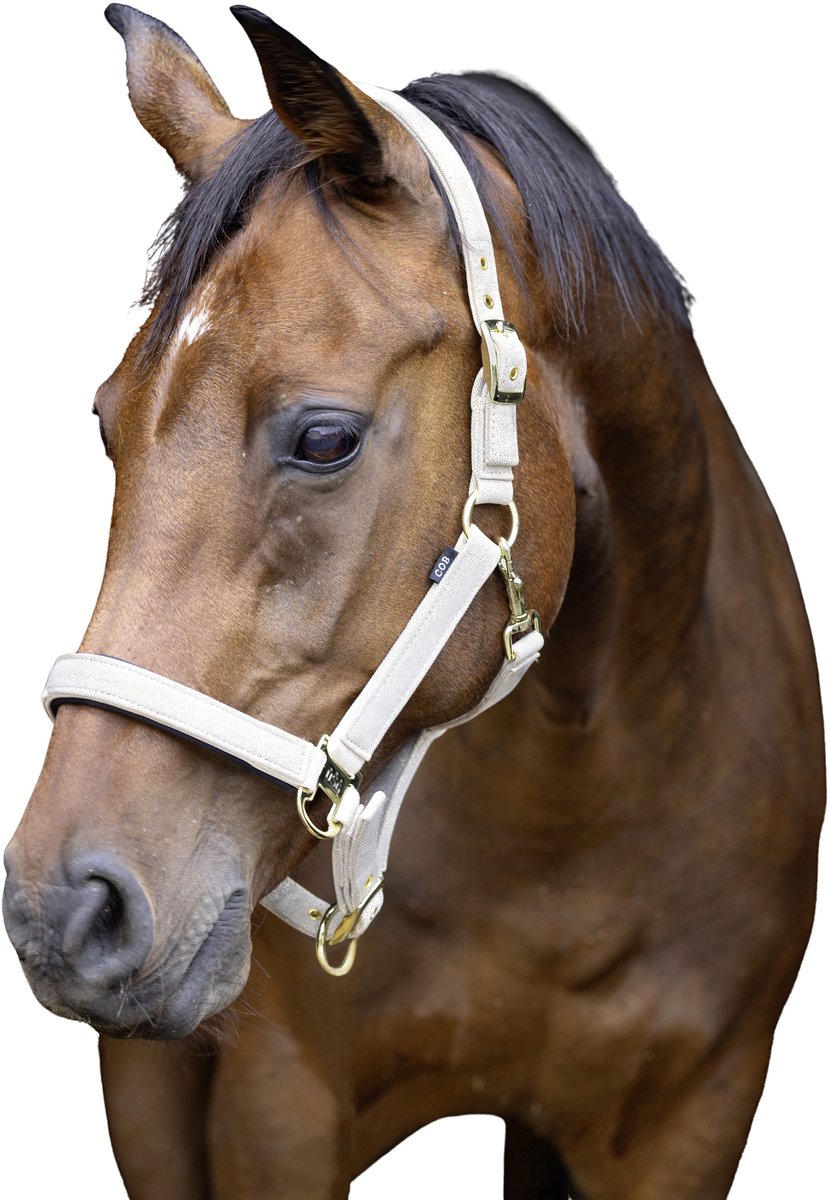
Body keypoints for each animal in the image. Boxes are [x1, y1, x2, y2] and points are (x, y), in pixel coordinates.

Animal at [3, 4, 824, 1198]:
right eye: (110, 423)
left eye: (323, 438)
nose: (63, 905)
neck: (570, 821)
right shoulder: (277, 1109)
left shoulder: (698, 1118)